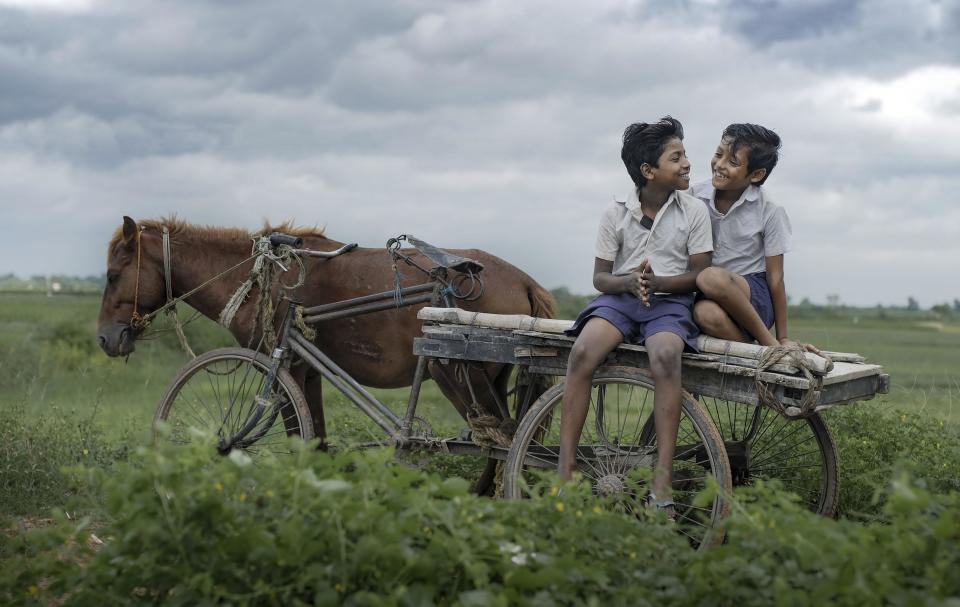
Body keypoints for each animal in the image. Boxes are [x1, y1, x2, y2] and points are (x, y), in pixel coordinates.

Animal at [97, 216, 556, 478]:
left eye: (113, 274)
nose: (105, 338)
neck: (260, 282)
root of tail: (525, 280)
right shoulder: (304, 368)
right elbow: (314, 439)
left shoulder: (280, 366)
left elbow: (286, 432)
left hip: (459, 375)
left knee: (505, 445)